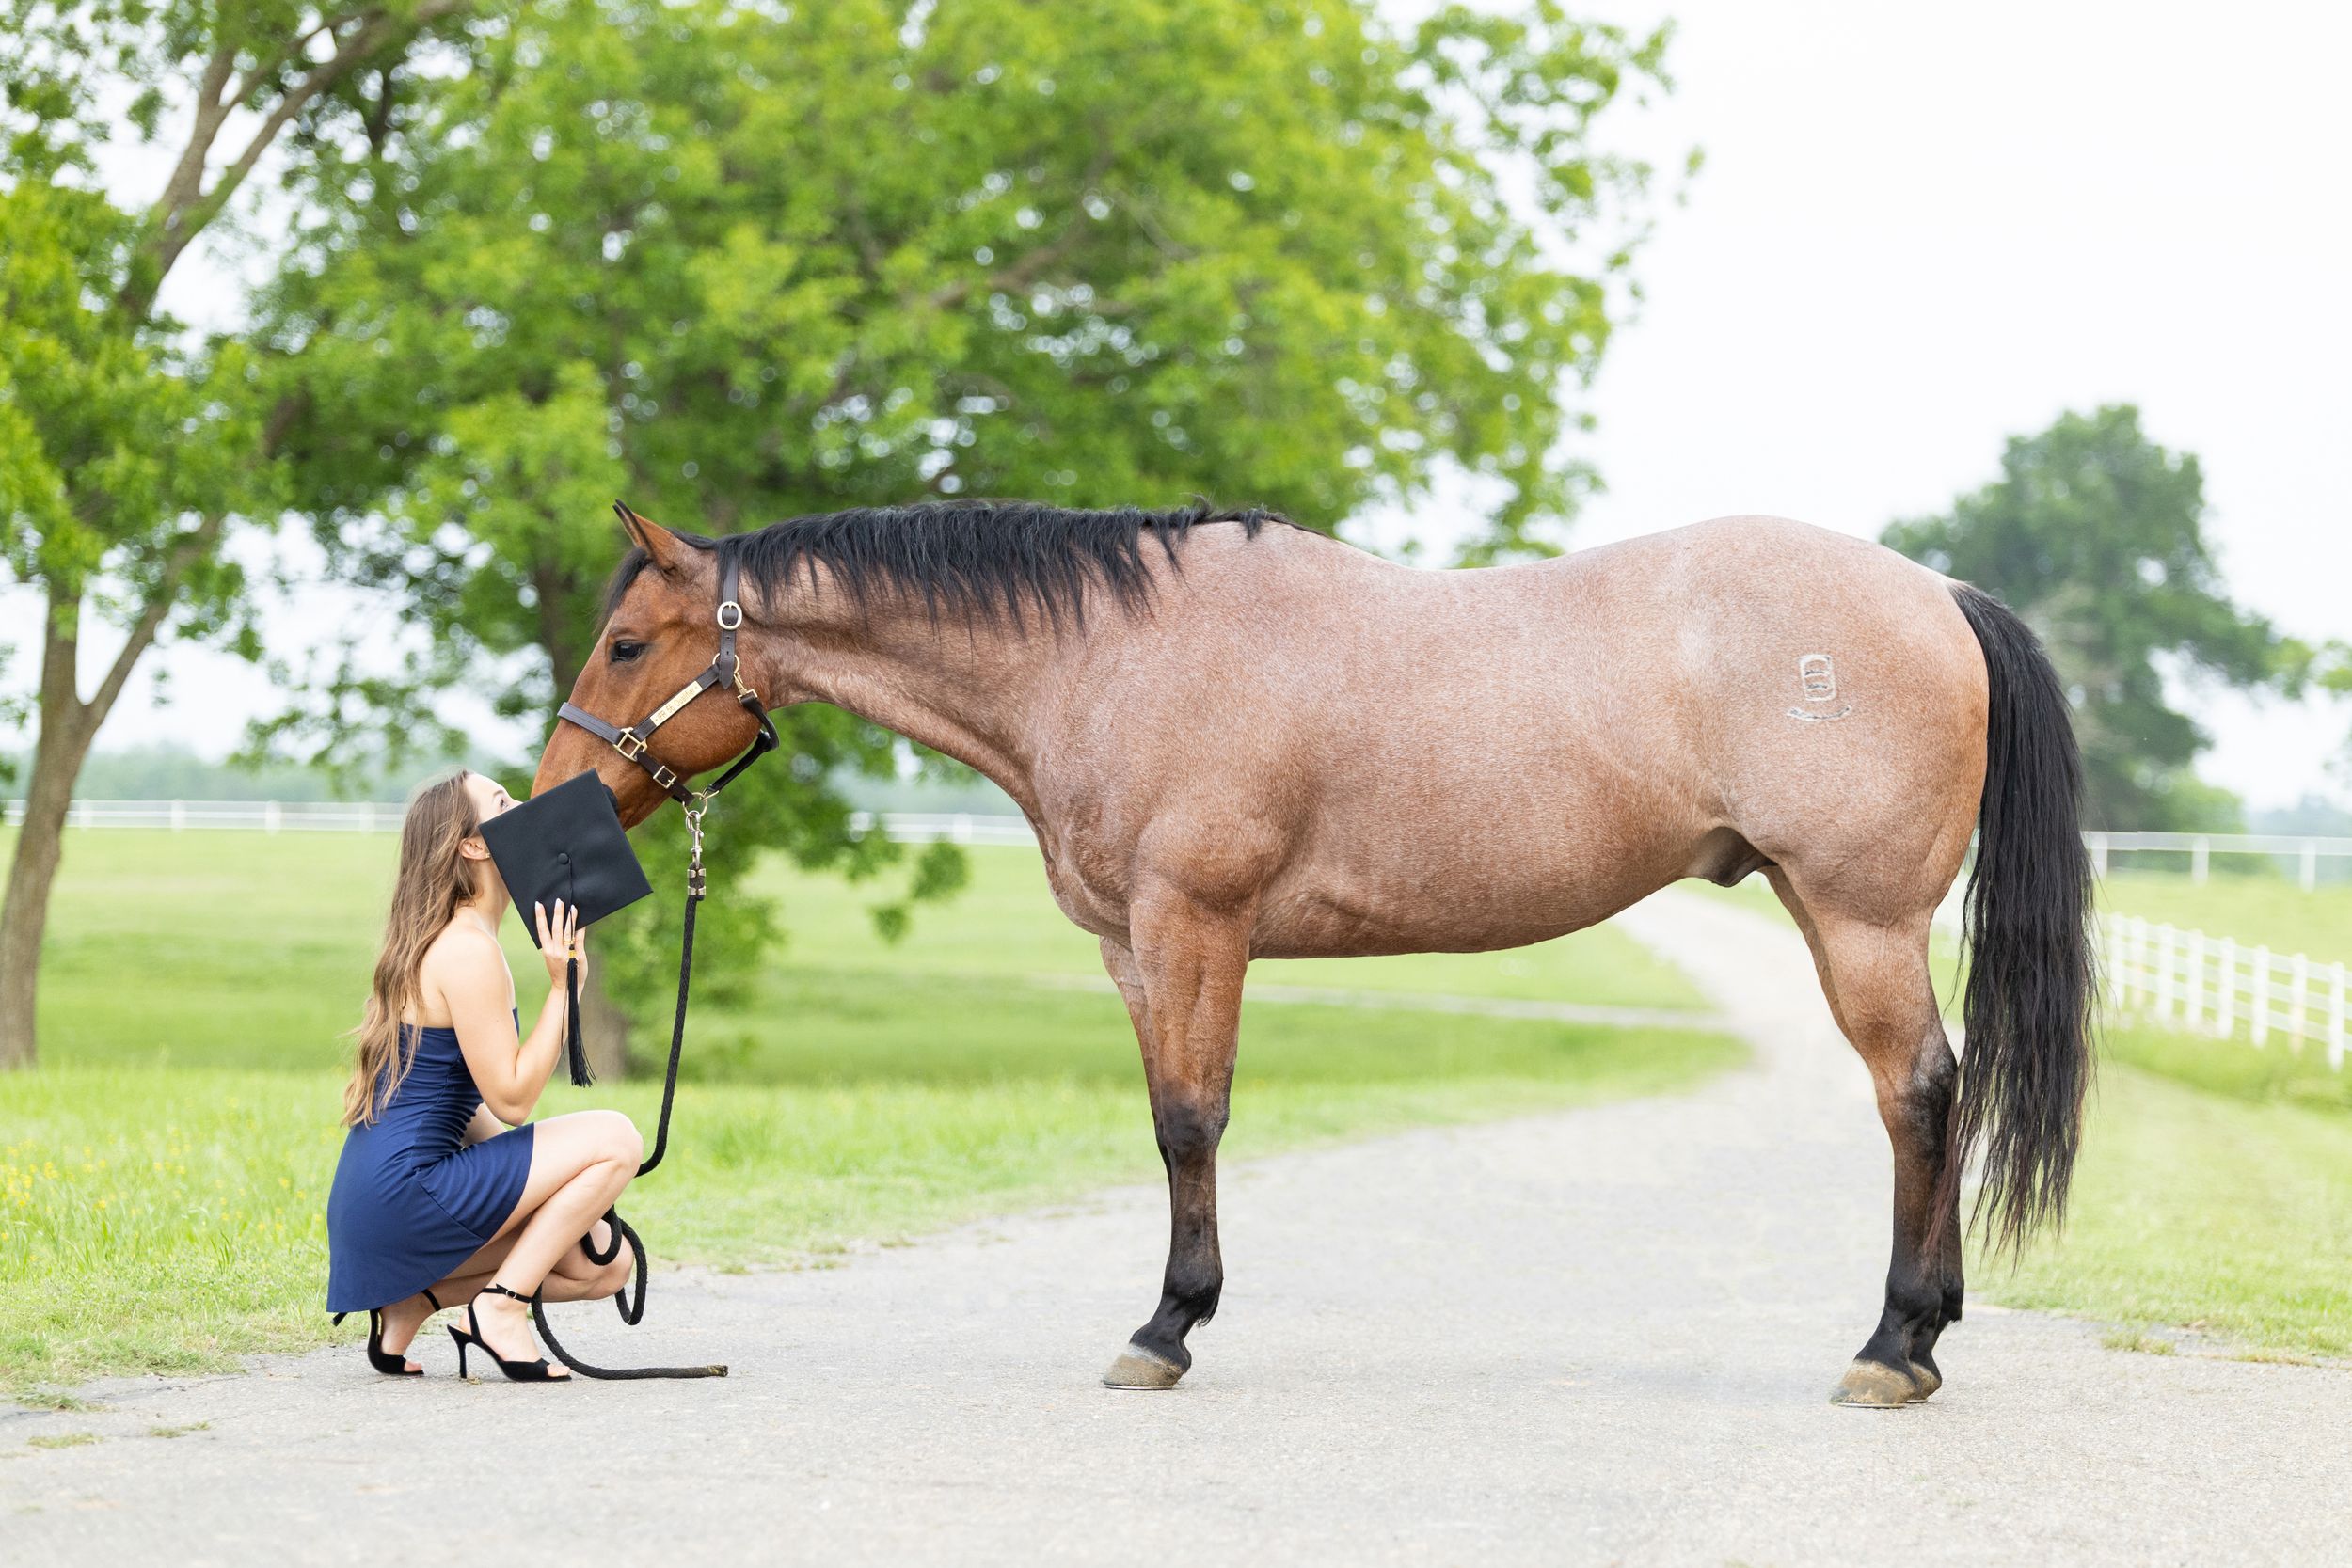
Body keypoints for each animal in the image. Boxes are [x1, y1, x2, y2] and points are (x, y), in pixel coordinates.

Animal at [530, 499, 2093, 1408]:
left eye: (627, 641)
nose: (549, 806)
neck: (1111, 655)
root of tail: (1940, 594)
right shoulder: (1133, 949)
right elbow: (1169, 1115)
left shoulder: (1196, 923)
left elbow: (1191, 1119)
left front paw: (1167, 1326)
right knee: (1935, 1095)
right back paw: (1924, 1335)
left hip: (1856, 916)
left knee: (1919, 1094)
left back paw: (1895, 1344)